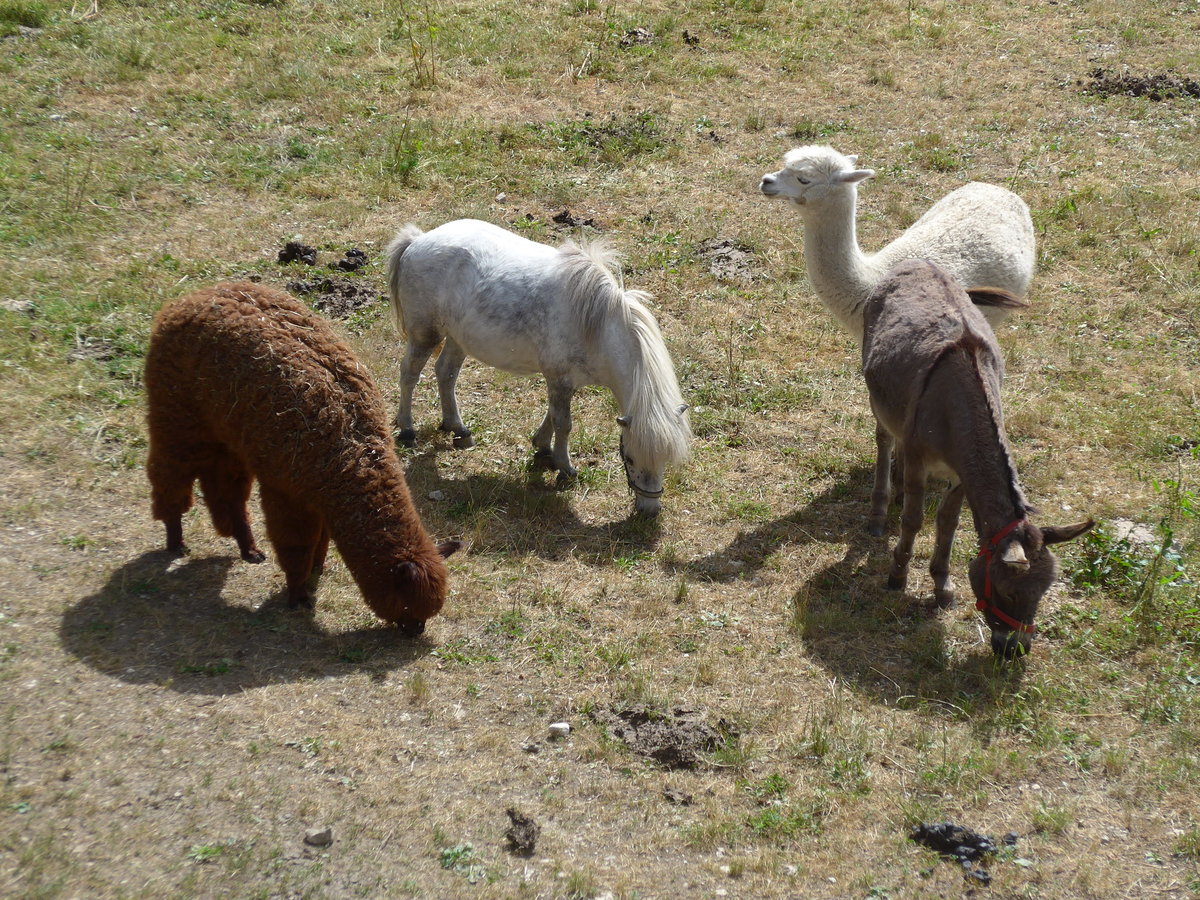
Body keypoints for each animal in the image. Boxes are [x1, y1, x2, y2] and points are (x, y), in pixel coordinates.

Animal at [385, 219, 691, 517]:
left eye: (666, 459)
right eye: (629, 457)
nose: (649, 510)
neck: (597, 327)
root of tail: (417, 240)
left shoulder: (565, 381)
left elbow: (552, 417)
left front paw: (543, 449)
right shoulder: (559, 379)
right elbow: (563, 423)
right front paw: (565, 469)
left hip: (458, 338)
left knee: (445, 373)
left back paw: (458, 429)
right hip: (425, 335)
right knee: (409, 374)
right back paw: (407, 430)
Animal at [861, 259, 1094, 658]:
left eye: (1043, 592)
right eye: (1007, 591)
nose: (1016, 651)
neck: (958, 408)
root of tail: (919, 262)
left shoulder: (960, 474)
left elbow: (948, 524)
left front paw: (942, 586)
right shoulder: (921, 460)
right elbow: (913, 520)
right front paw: (898, 574)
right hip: (877, 396)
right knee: (885, 440)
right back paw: (880, 510)